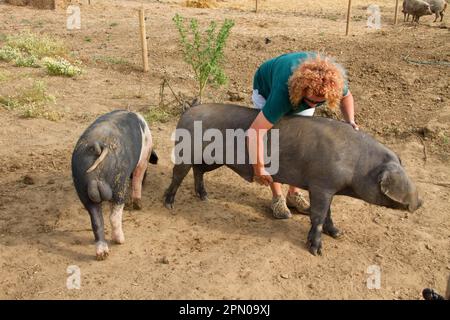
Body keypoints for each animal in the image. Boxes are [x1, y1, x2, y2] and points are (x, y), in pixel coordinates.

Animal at [72, 110, 158, 260]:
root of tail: (98, 146)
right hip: (119, 182)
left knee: (96, 220)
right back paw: (120, 241)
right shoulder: (143, 159)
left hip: (82, 186)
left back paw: (102, 254)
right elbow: (138, 178)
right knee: (114, 215)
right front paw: (138, 205)